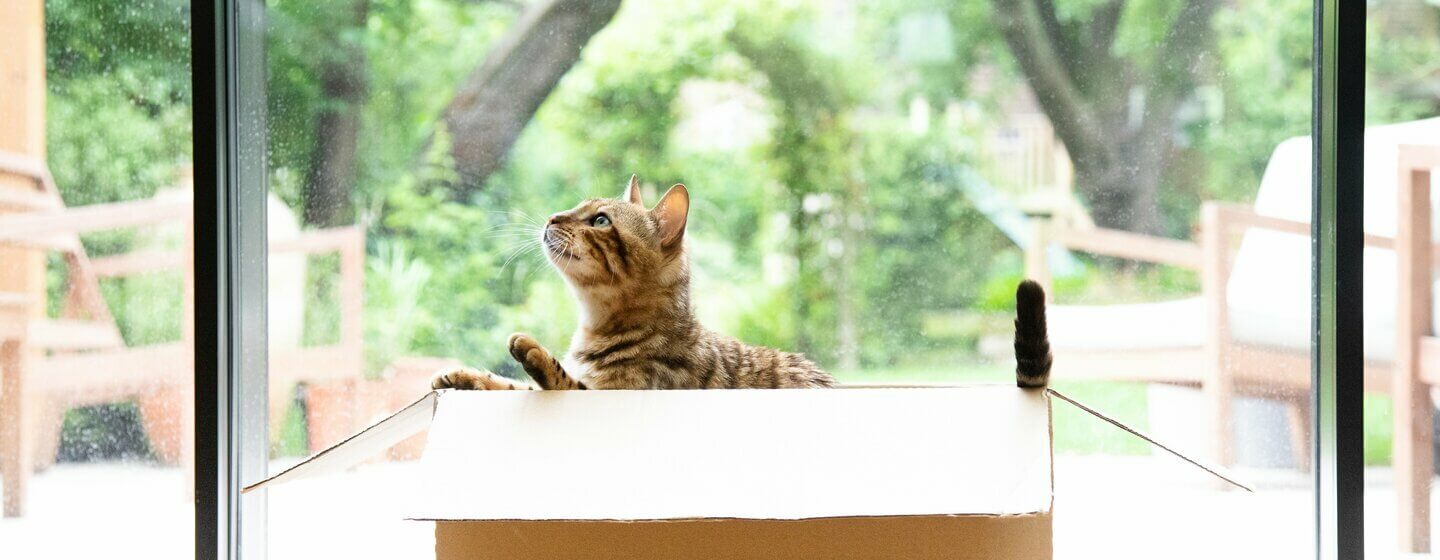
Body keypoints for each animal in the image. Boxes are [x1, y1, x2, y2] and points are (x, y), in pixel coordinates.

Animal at [432, 174, 835, 388]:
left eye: (600, 221)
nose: (551, 217)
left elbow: (563, 381)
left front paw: (536, 355)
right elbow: (511, 384)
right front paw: (467, 377)